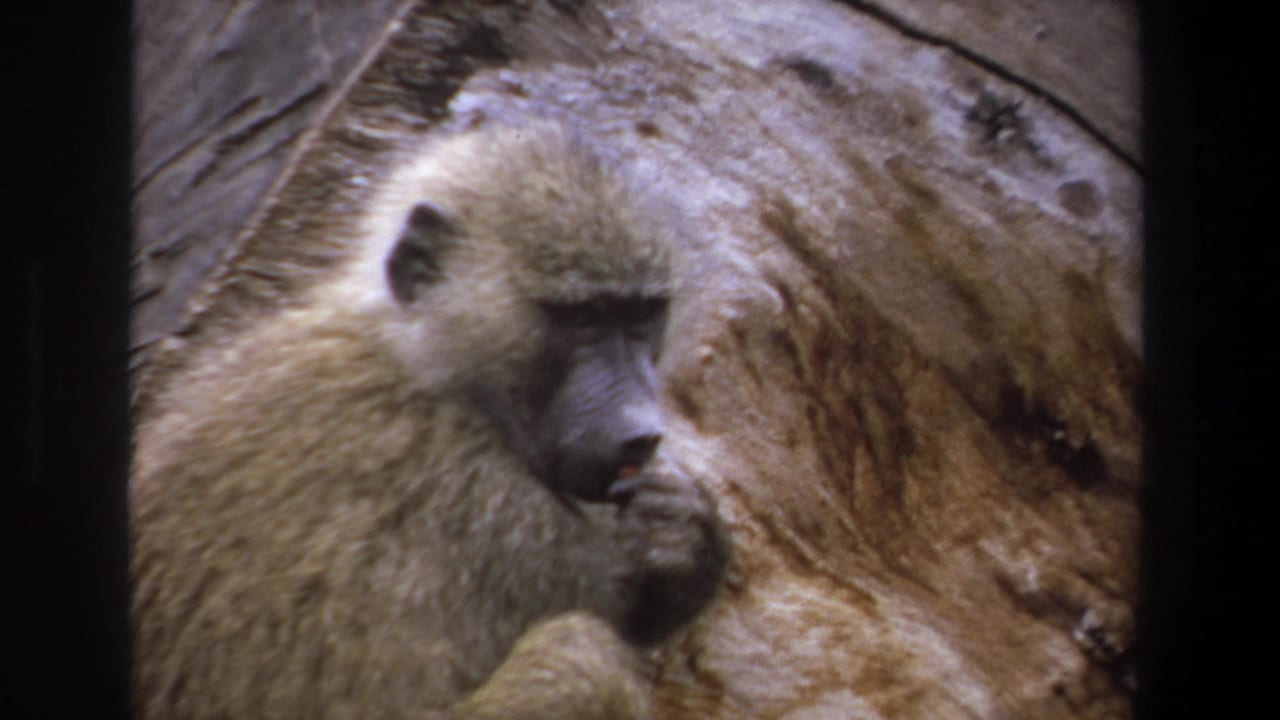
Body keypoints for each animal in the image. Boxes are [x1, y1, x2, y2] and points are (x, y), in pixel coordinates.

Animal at [129, 121, 727, 720]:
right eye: (582, 317)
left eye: (641, 316)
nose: (641, 432)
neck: (425, 363)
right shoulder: (494, 508)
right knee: (586, 659)